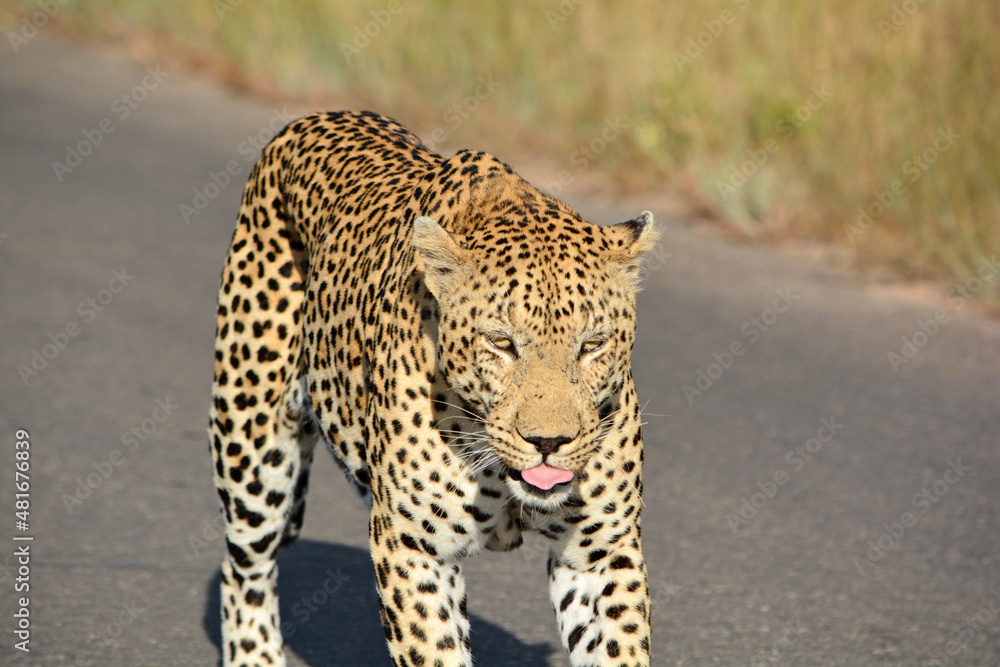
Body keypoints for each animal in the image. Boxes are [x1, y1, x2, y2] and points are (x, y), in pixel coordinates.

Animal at [209, 110, 658, 667]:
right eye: (501, 342)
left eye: (592, 344)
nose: (548, 443)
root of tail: (313, 118)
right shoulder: (412, 550)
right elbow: (436, 651)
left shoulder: (599, 555)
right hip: (252, 448)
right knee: (244, 567)